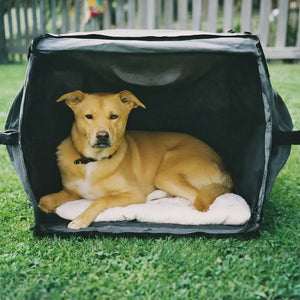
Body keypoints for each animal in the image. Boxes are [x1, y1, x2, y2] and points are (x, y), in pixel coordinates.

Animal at [39, 90, 232, 229]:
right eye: (88, 116)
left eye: (114, 116)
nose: (102, 136)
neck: (94, 161)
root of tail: (223, 168)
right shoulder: (72, 191)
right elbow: (45, 199)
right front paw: (47, 207)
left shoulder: (133, 194)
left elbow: (102, 199)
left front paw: (81, 219)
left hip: (166, 172)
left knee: (196, 196)